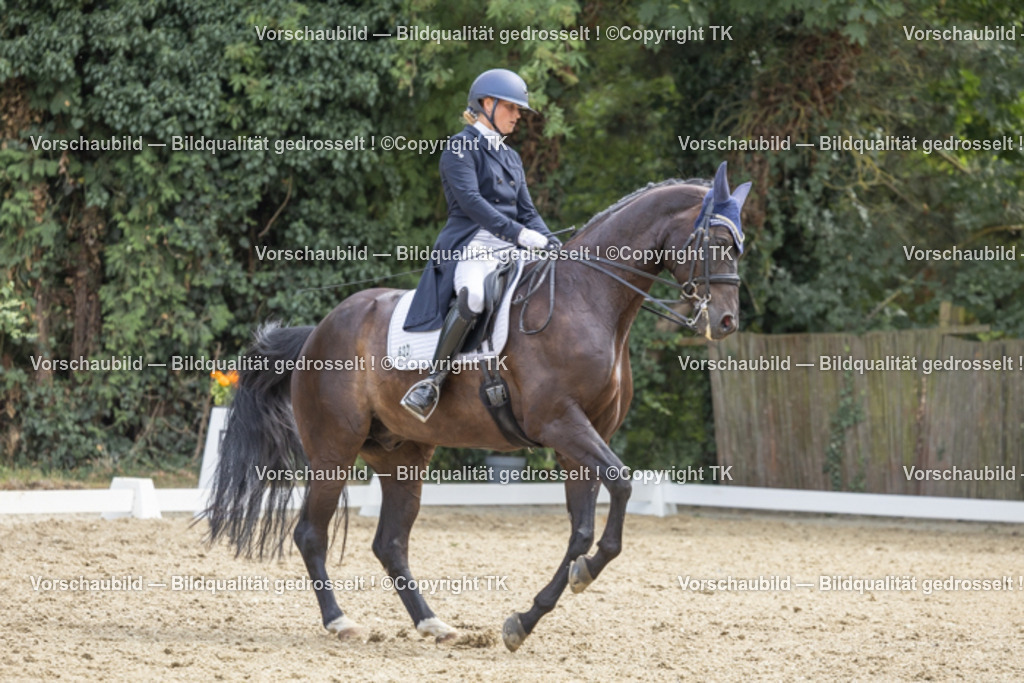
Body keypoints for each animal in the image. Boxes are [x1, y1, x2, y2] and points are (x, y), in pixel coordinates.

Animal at [204, 162, 750, 652]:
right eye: (714, 243)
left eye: (739, 246)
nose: (726, 322)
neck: (588, 299)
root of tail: (318, 331)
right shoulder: (562, 426)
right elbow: (620, 486)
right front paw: (577, 581)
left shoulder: (582, 441)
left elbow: (582, 531)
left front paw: (527, 618)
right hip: (333, 452)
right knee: (310, 534)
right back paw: (341, 622)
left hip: (402, 456)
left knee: (390, 544)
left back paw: (434, 625)